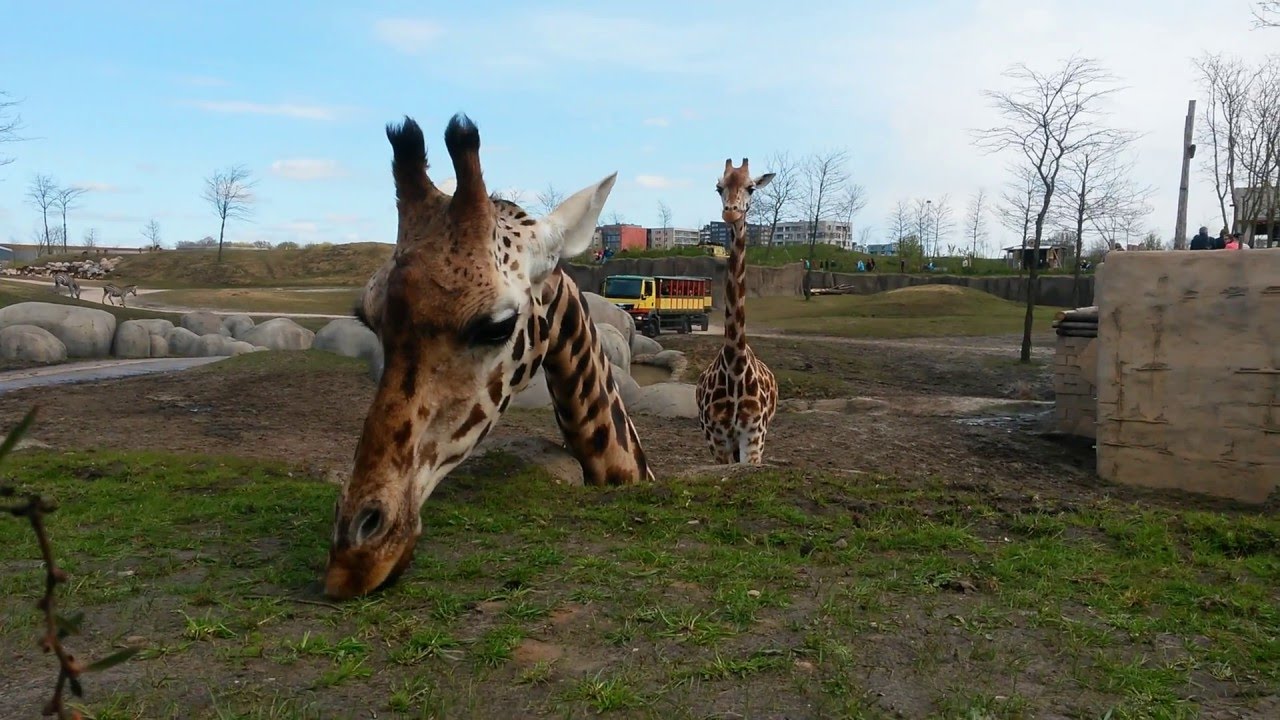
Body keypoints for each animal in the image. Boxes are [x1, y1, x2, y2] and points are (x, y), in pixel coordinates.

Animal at [695, 159, 778, 465]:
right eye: (719, 187)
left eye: (751, 187)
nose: (731, 212)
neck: (734, 363)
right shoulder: (717, 437)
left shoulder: (754, 436)